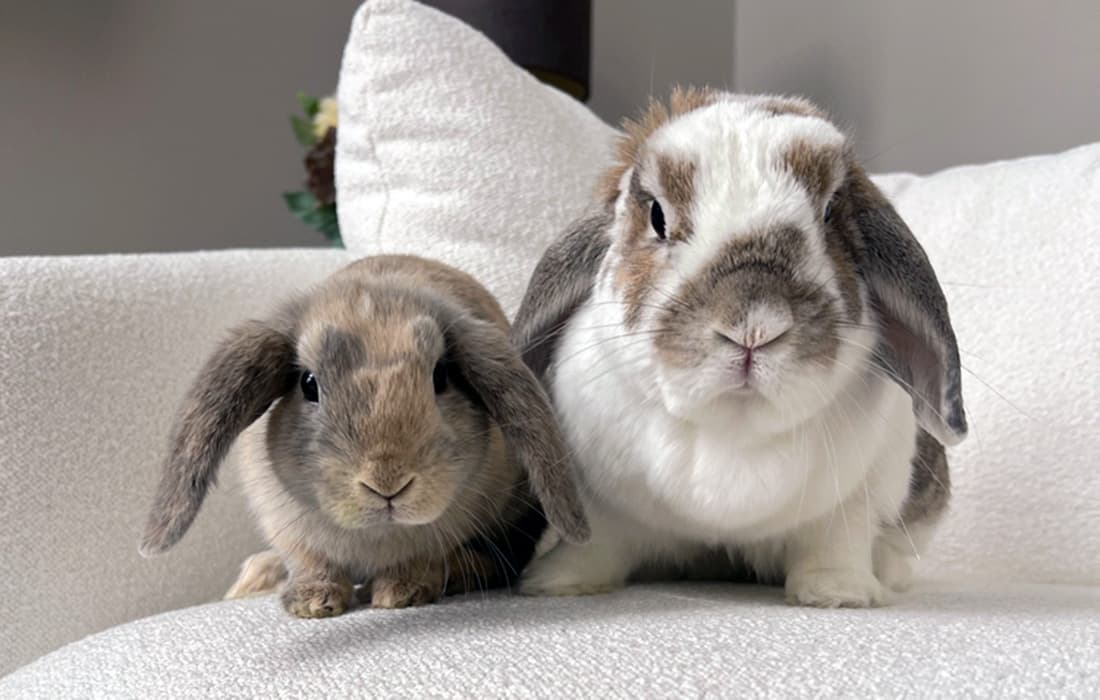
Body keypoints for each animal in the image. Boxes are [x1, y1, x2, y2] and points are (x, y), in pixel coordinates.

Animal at [139, 255, 588, 617]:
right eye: (308, 384)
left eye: (441, 376)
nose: (387, 482)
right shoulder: (285, 525)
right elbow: (310, 561)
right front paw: (312, 601)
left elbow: (425, 558)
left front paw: (400, 591)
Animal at [512, 88, 967, 608]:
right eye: (657, 216)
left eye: (830, 213)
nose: (753, 327)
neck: (733, 426)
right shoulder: (600, 502)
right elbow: (594, 541)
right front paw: (558, 583)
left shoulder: (853, 502)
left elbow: (837, 543)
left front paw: (839, 592)